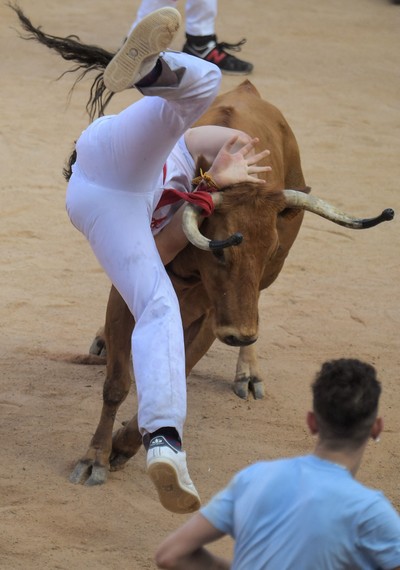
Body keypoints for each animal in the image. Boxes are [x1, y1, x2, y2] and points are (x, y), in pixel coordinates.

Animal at [12, 3, 394, 484]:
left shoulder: (215, 314)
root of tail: (249, 91)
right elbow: (117, 382)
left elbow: (179, 369)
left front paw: (124, 445)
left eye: (267, 250)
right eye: (223, 250)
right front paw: (95, 456)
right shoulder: (126, 292)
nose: (241, 331)